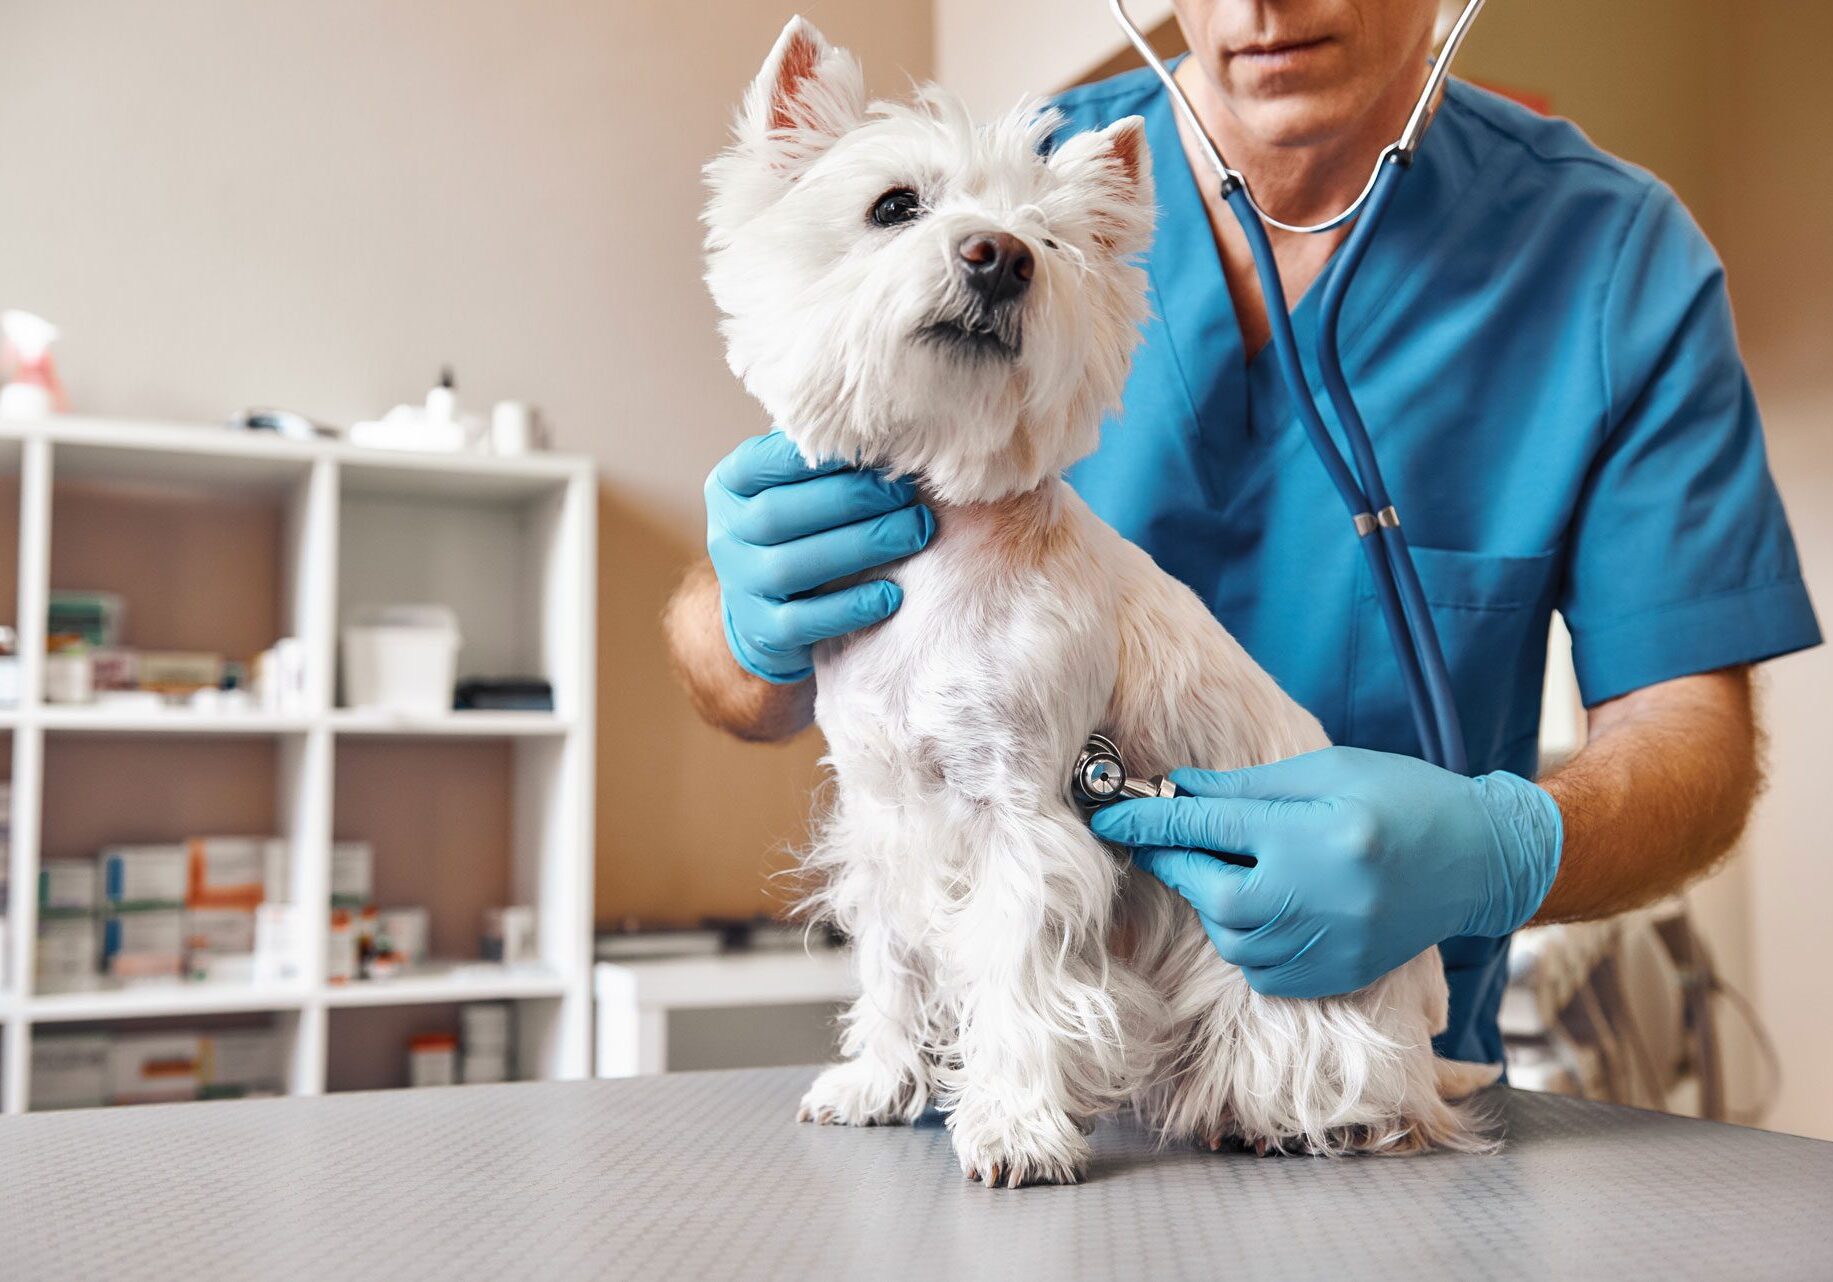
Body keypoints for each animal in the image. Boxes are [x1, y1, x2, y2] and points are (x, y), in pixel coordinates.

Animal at [696, 15, 1488, 1188]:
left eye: (1054, 245)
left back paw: (1296, 1119)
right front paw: (878, 1083)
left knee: (1353, 1078)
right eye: (894, 205)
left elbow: (1016, 978)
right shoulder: (883, 812)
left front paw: (1015, 1129)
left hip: (1305, 990)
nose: (1000, 255)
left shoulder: (1026, 813)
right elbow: (892, 958)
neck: (946, 541)